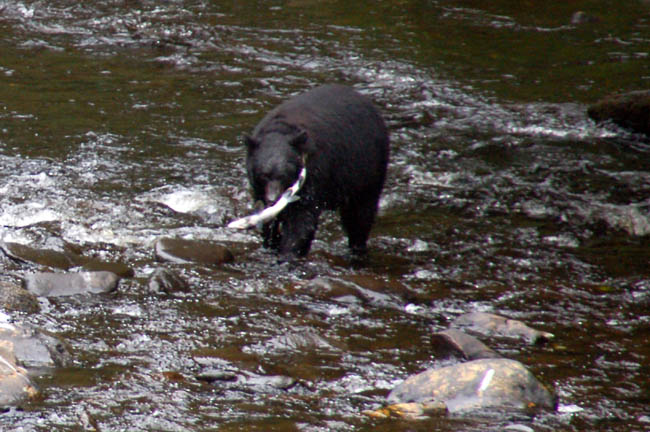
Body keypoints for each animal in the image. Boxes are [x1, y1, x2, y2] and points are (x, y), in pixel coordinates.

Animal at [244, 84, 390, 259]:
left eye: (284, 175)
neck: (281, 130)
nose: (274, 199)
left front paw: (288, 254)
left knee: (360, 217)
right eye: (263, 175)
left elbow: (302, 220)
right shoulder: (259, 189)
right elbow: (270, 222)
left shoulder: (314, 174)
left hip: (367, 172)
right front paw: (271, 245)